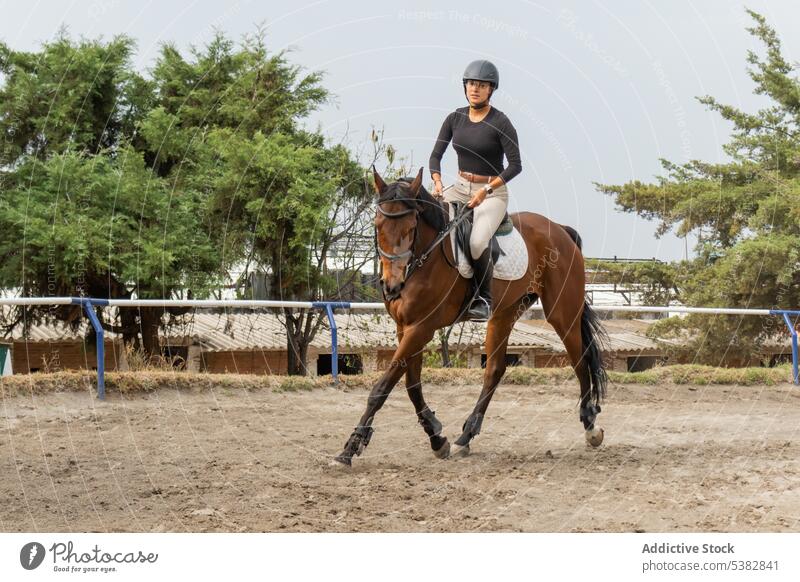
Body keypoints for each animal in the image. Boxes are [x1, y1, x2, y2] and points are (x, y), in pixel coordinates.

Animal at [334, 167, 608, 468]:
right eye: (378, 225)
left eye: (411, 228)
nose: (392, 287)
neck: (424, 256)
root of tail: (560, 230)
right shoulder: (406, 327)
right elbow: (411, 385)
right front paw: (437, 438)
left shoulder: (421, 328)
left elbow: (383, 387)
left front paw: (350, 448)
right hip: (504, 314)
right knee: (494, 370)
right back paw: (465, 436)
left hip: (562, 313)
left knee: (580, 360)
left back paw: (591, 426)